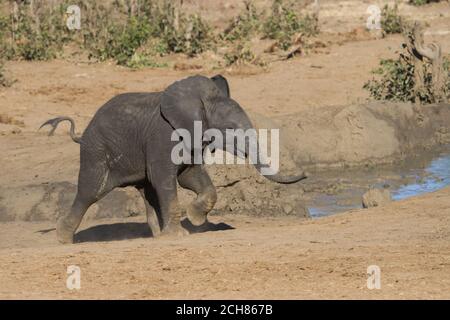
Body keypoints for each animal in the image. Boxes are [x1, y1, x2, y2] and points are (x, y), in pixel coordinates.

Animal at [42, 75, 306, 245]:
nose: (305, 174)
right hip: (96, 152)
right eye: (231, 128)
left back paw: (158, 236)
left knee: (146, 191)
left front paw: (195, 220)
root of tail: (82, 133)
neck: (202, 101)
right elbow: (165, 179)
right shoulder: (163, 135)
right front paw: (182, 234)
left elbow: (190, 176)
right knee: (90, 192)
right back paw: (63, 239)